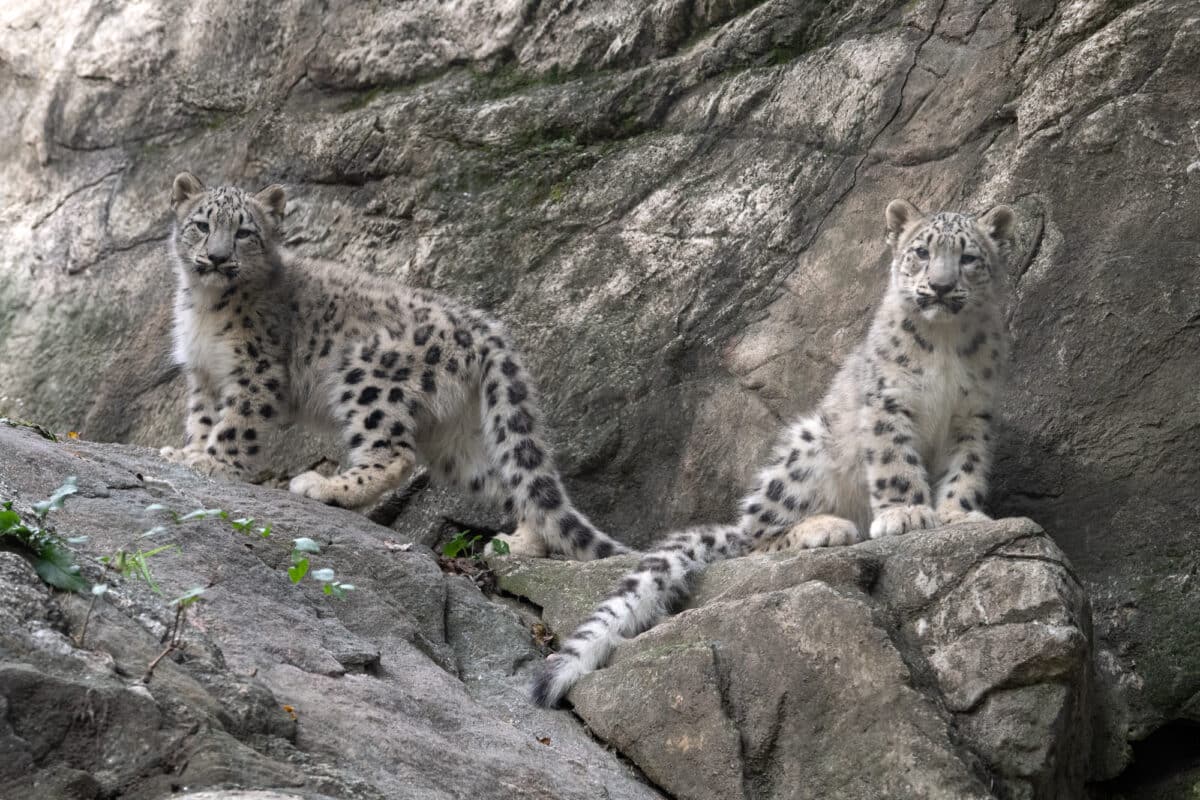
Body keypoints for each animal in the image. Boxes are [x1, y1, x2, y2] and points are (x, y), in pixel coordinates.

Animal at [159, 171, 629, 561]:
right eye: (201, 225)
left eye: (244, 232)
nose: (216, 257)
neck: (204, 305)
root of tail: (483, 326)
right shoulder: (204, 375)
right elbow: (203, 419)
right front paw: (188, 451)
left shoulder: (257, 372)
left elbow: (236, 424)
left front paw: (213, 463)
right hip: (456, 437)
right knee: (511, 480)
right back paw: (523, 543)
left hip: (368, 377)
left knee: (394, 454)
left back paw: (324, 486)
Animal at [531, 198, 1017, 706]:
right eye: (921, 252)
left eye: (968, 257)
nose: (940, 286)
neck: (945, 345)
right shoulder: (887, 403)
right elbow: (896, 462)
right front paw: (907, 513)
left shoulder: (974, 416)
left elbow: (967, 469)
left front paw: (959, 514)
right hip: (806, 449)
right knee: (756, 541)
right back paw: (825, 528)